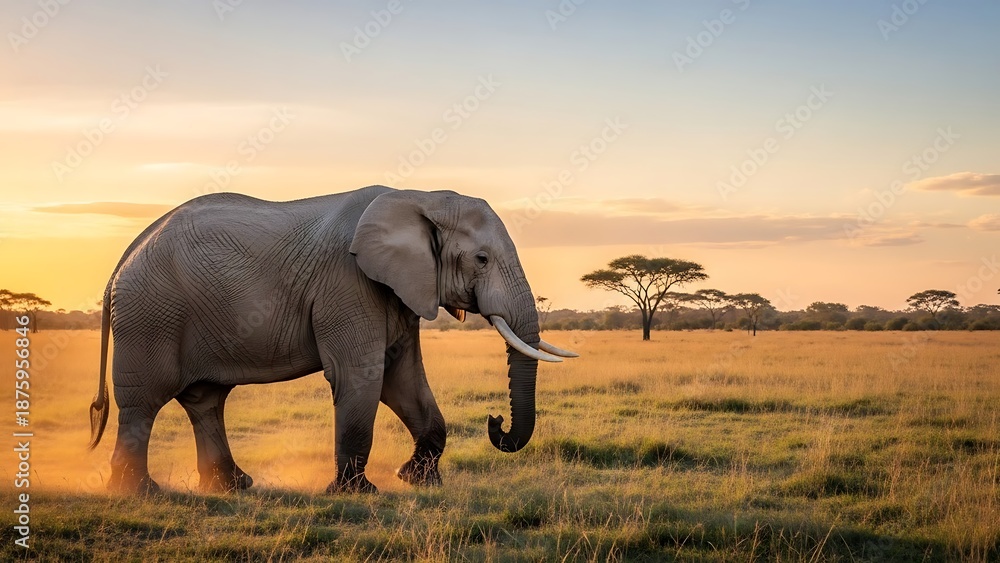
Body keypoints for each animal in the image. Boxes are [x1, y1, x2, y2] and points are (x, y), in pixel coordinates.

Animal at [87, 185, 577, 494]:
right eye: (481, 259)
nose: (496, 420)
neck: (421, 196)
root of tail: (124, 258)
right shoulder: (348, 284)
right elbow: (362, 377)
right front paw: (358, 493)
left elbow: (404, 381)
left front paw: (417, 481)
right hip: (150, 315)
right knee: (143, 402)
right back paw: (140, 493)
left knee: (205, 400)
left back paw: (233, 487)